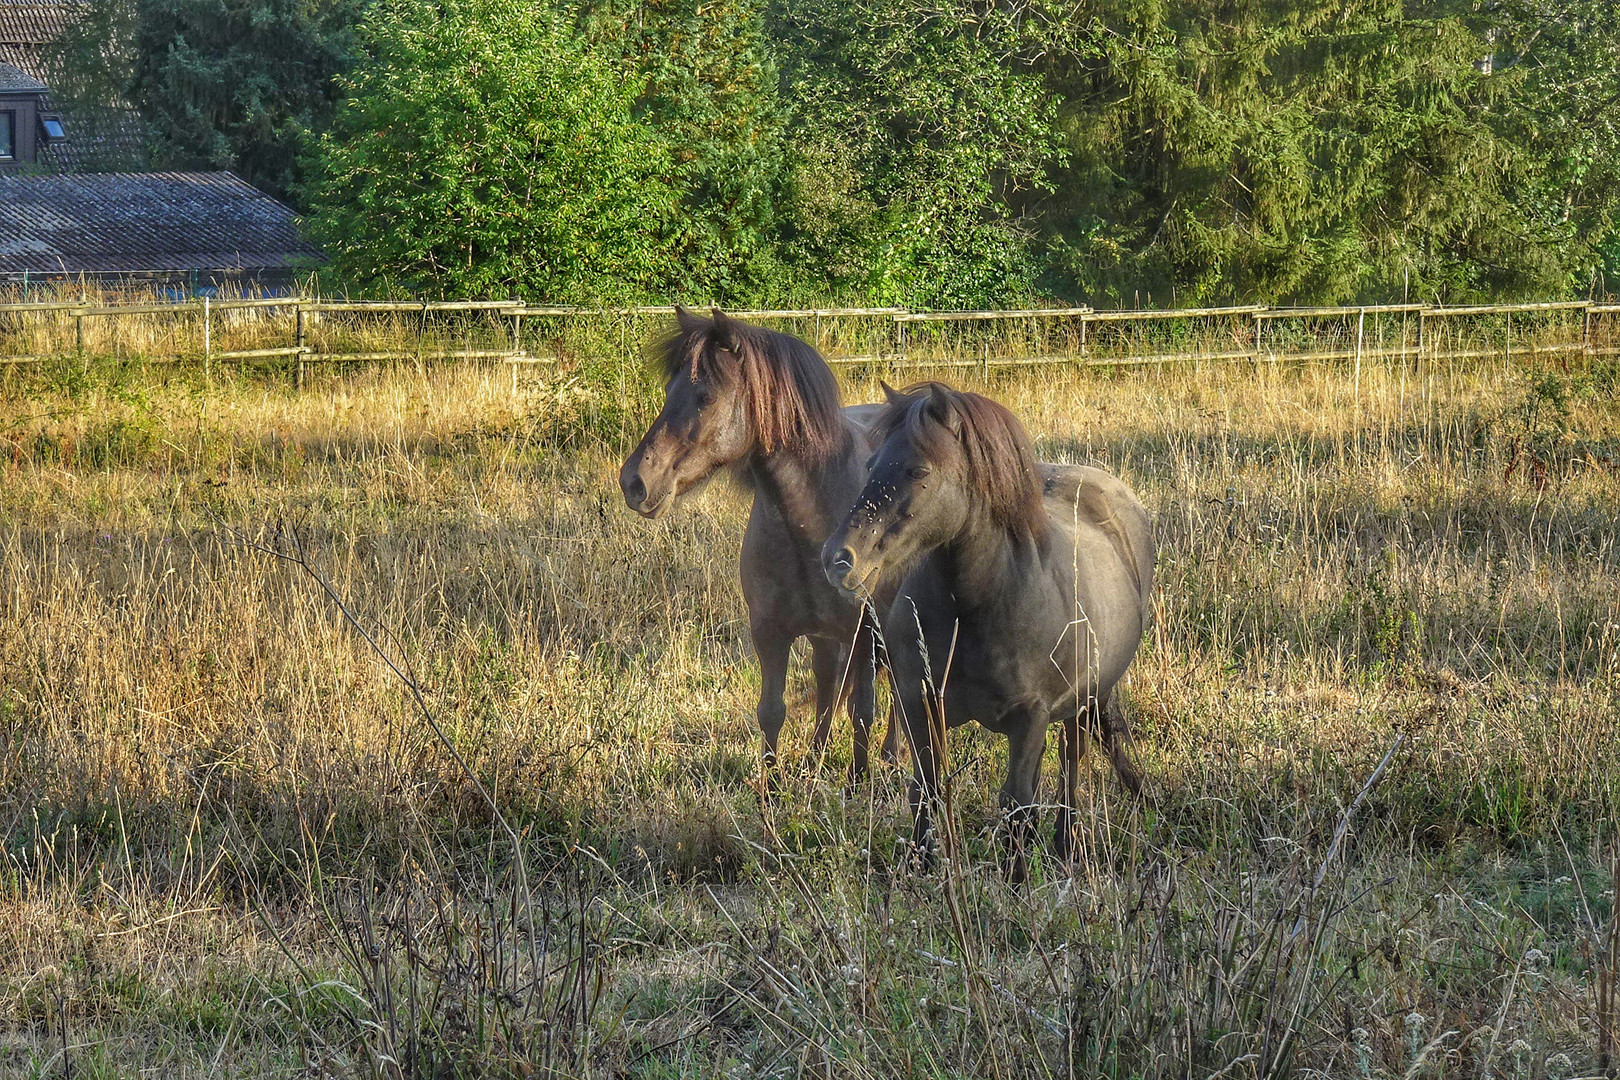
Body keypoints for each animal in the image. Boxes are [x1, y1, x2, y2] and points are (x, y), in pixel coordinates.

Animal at [618, 307, 900, 780]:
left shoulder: (865, 632)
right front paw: (771, 790)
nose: (634, 481)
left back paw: (894, 757)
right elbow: (772, 712)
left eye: (706, 397)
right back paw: (816, 757)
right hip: (826, 636)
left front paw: (860, 783)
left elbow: (863, 713)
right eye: (669, 390)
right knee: (828, 682)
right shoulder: (769, 631)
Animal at [822, 383, 1153, 880]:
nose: (839, 559)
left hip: (1081, 702)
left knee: (1071, 770)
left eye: (919, 469)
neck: (979, 607)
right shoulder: (920, 705)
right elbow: (925, 792)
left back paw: (1068, 846)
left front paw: (1017, 886)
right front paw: (924, 871)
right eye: (871, 463)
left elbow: (1018, 808)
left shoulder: (1030, 717)